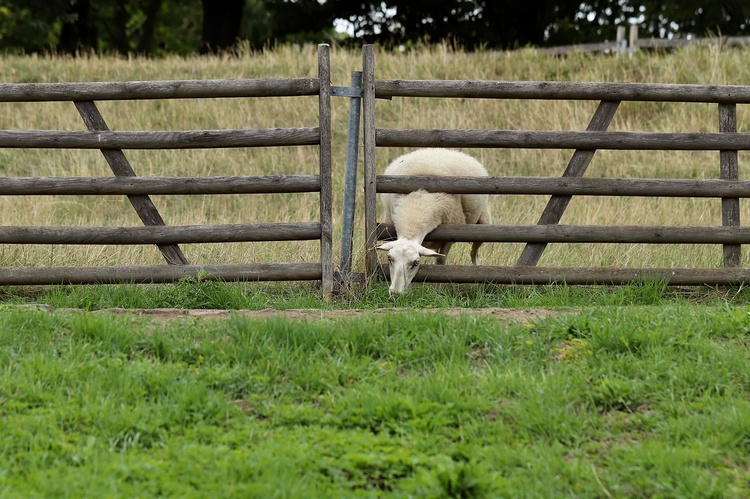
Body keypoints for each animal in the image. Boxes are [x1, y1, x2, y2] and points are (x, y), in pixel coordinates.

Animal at [376, 148, 494, 296]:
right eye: (389, 258)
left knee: (474, 254)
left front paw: (437, 290)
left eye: (416, 263)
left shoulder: (450, 235)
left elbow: (440, 262)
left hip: (483, 224)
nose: (395, 293)